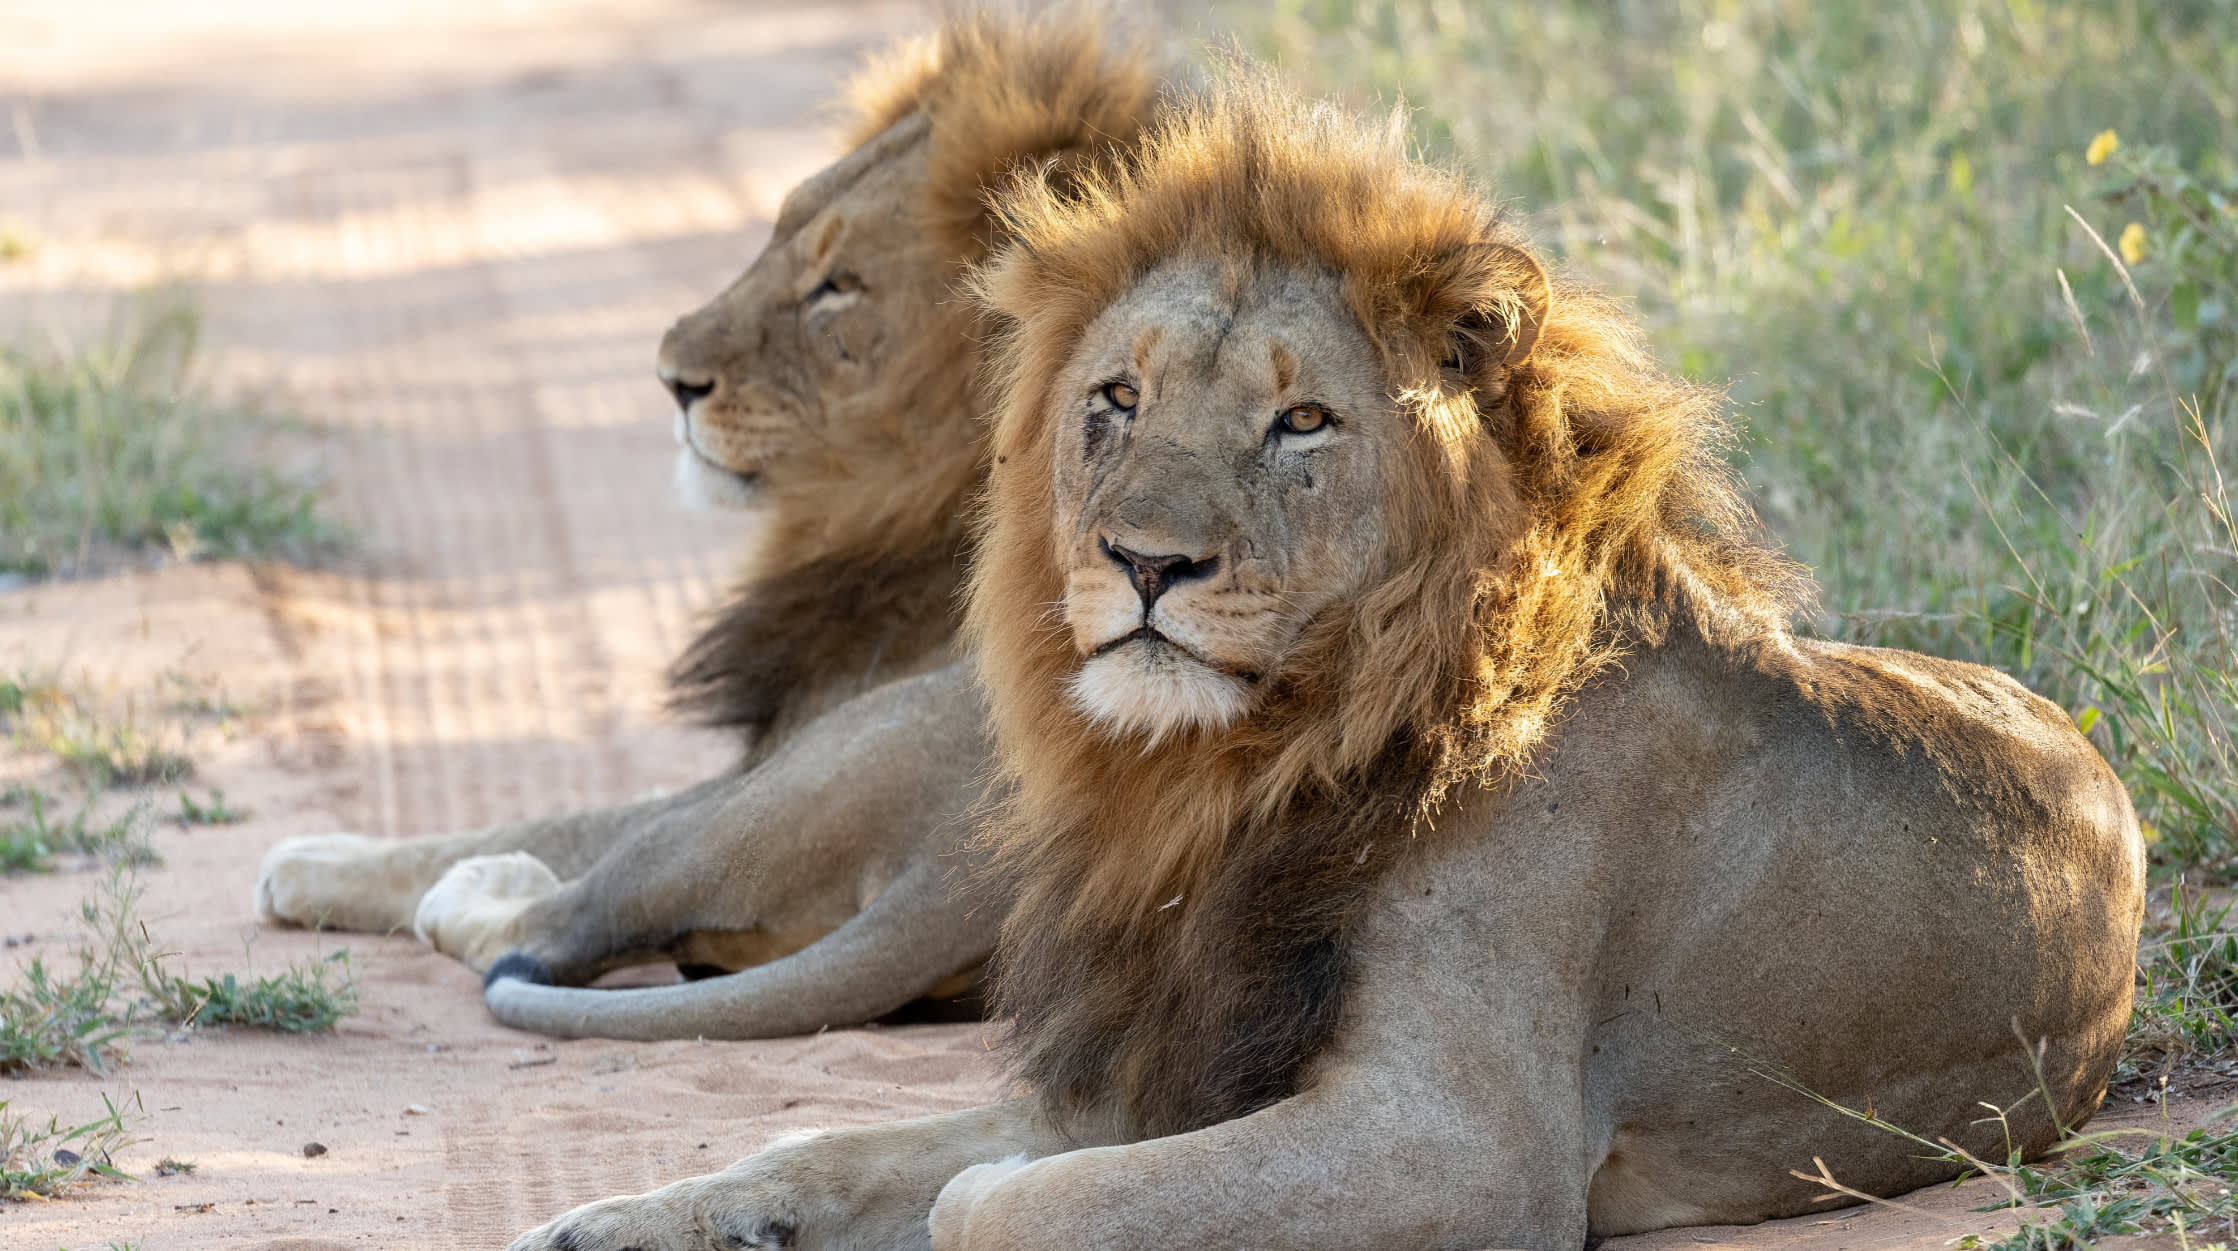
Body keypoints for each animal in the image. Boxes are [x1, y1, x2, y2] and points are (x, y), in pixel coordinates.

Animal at [251, 7, 1166, 1040]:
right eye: (774, 231)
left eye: (838, 286)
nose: (670, 377)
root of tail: (955, 880)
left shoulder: (763, 752)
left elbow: (559, 816)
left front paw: (316, 859)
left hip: (780, 783)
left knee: (553, 919)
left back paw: (477, 890)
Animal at [504, 74, 2145, 1250]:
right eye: (1116, 398)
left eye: (1301, 423)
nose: (1145, 563)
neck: (1244, 769)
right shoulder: (1165, 1060)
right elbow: (833, 1145)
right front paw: (624, 1222)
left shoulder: (1463, 1141)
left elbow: (1008, 1206)